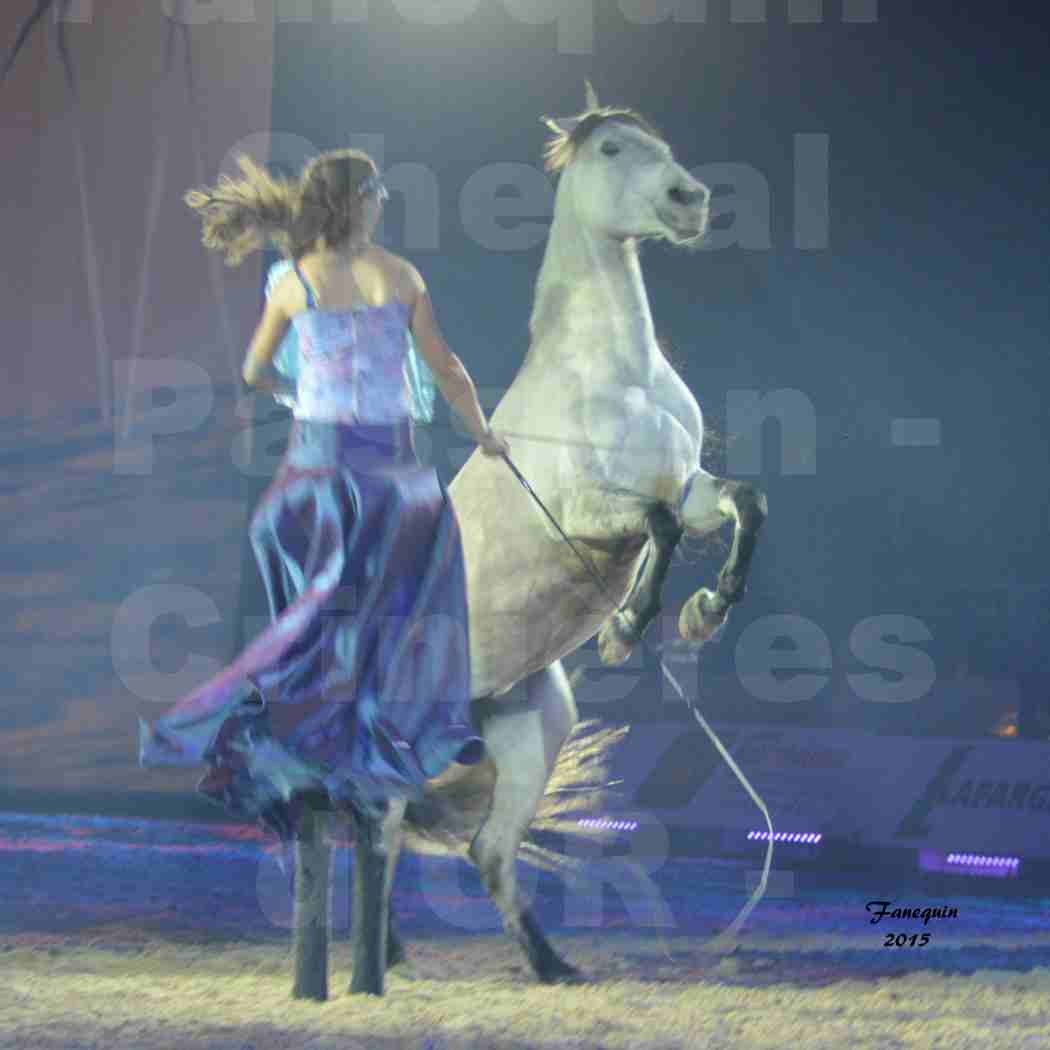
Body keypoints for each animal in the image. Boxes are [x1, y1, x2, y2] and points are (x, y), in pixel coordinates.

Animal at [291, 84, 768, 999]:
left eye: (660, 144)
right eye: (613, 150)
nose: (689, 201)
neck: (615, 375)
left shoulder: (688, 489)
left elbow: (745, 506)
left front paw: (705, 612)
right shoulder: (590, 508)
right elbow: (654, 529)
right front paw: (627, 630)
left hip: (531, 731)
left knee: (480, 848)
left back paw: (548, 966)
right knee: (384, 826)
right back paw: (384, 961)